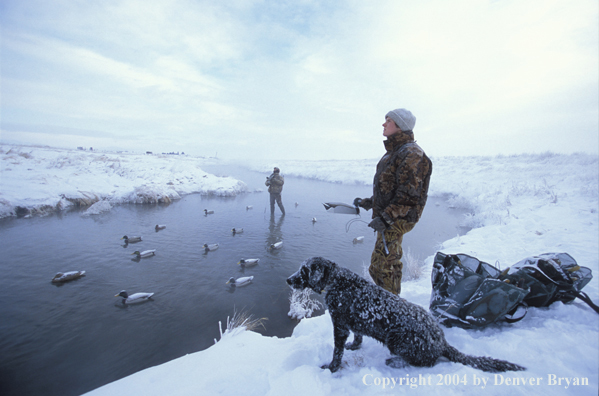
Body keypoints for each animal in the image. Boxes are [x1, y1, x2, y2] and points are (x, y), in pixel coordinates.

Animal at [286, 256, 524, 372]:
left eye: (304, 270)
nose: (288, 280)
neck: (337, 281)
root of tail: (441, 340)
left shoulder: (340, 325)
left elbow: (337, 351)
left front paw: (332, 368)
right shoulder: (354, 323)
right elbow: (358, 336)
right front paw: (355, 346)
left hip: (396, 339)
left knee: (428, 362)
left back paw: (396, 362)